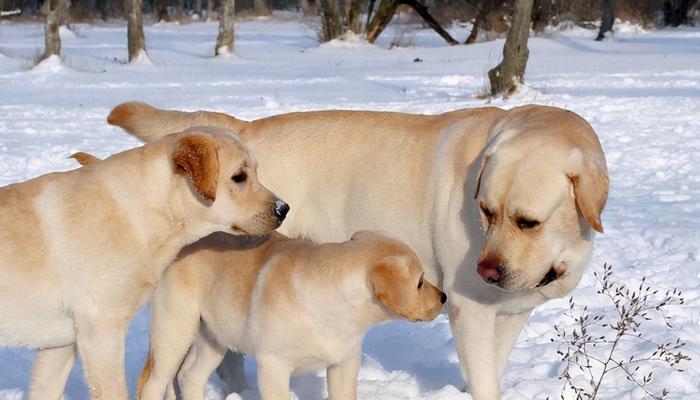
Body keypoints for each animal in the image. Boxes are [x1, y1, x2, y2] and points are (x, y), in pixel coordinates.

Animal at [0, 126, 288, 398]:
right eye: (239, 176)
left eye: (257, 172)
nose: (283, 209)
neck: (137, 212)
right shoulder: (101, 329)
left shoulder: (61, 343)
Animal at [127, 230, 442, 400]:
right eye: (419, 282)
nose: (444, 297)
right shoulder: (273, 366)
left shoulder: (343, 364)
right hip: (173, 329)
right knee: (152, 382)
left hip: (213, 337)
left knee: (190, 376)